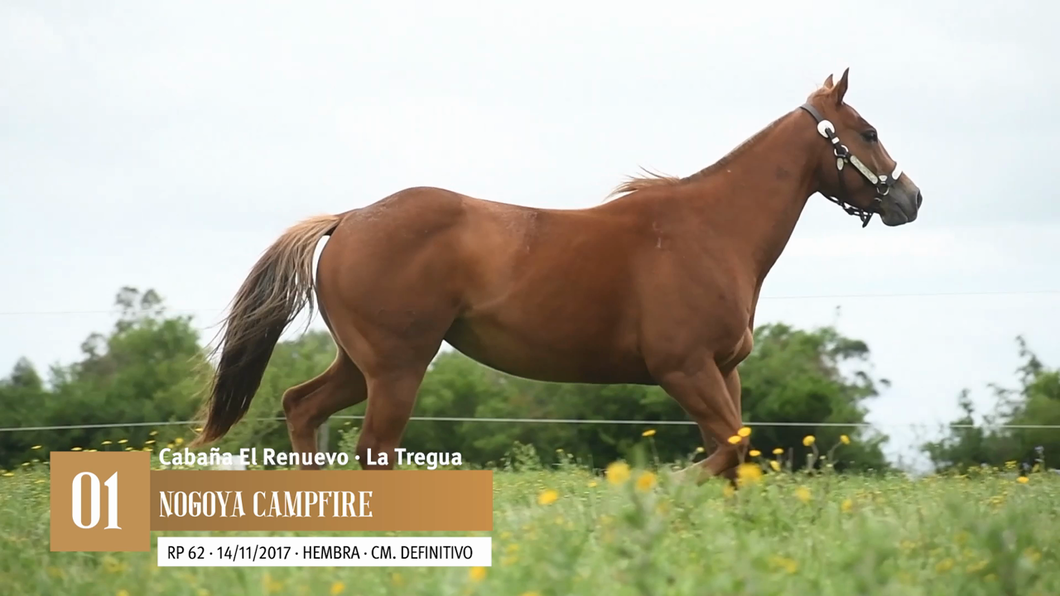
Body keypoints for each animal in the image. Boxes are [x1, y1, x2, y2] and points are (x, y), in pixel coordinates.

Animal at [188, 68, 920, 483]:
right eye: (868, 131)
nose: (910, 199)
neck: (713, 231)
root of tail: (348, 220)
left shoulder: (723, 370)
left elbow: (736, 456)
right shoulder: (684, 368)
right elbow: (728, 450)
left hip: (360, 364)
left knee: (301, 406)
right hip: (397, 368)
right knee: (374, 448)